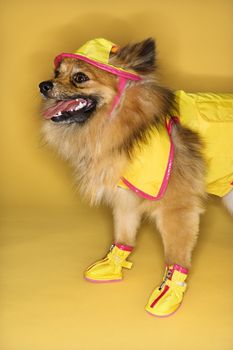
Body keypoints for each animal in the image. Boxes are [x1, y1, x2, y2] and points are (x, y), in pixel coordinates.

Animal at [39, 38, 232, 318]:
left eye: (80, 77)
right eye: (56, 73)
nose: (43, 85)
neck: (124, 123)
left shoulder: (177, 208)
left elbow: (176, 255)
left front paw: (168, 293)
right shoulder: (125, 196)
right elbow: (123, 235)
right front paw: (112, 265)